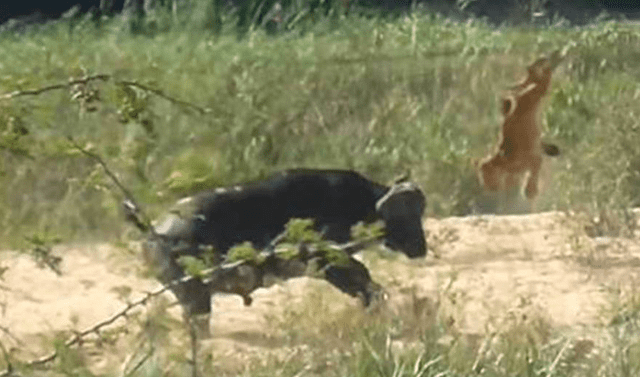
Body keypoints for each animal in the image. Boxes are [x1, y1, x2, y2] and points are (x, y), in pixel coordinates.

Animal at [142, 169, 428, 318]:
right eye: (406, 217)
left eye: (420, 213)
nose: (421, 248)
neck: (359, 202)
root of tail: (156, 233)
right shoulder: (328, 259)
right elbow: (361, 277)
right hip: (195, 297)